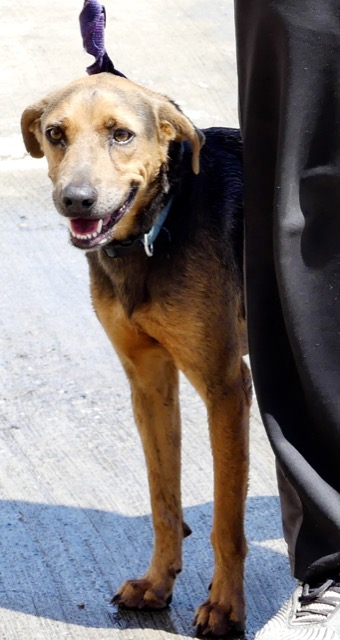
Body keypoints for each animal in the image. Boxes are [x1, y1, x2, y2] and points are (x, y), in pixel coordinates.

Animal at [20, 72, 250, 636]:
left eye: (120, 135)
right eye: (55, 134)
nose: (76, 200)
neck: (159, 226)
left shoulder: (226, 386)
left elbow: (227, 519)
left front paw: (226, 606)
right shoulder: (148, 380)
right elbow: (163, 500)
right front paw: (158, 583)